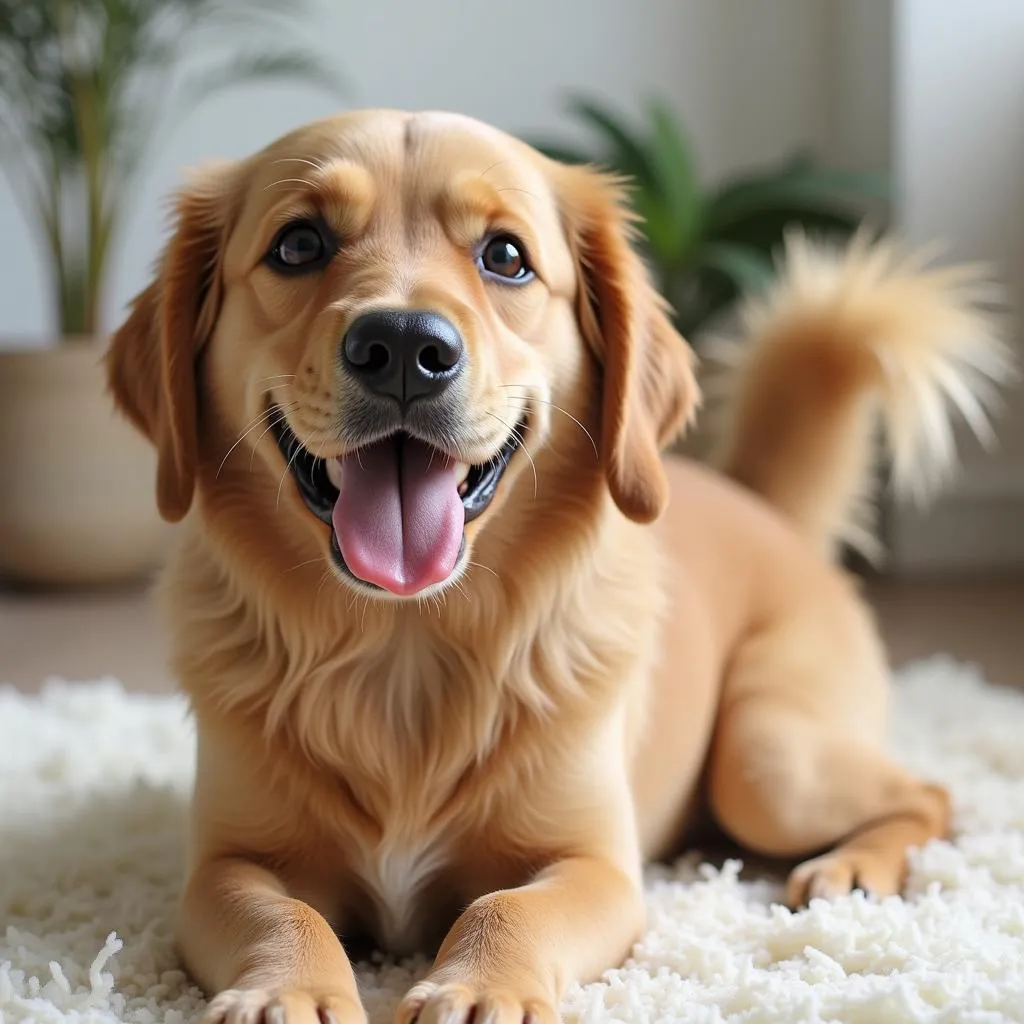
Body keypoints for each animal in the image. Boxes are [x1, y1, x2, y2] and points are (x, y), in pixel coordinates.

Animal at [103, 108, 1007, 1019]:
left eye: (505, 256)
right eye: (298, 244)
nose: (402, 345)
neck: (403, 655)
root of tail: (762, 504)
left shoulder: (596, 866)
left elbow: (506, 908)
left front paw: (475, 986)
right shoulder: (226, 866)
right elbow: (281, 913)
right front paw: (285, 990)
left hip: (767, 758)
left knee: (930, 794)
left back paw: (852, 867)